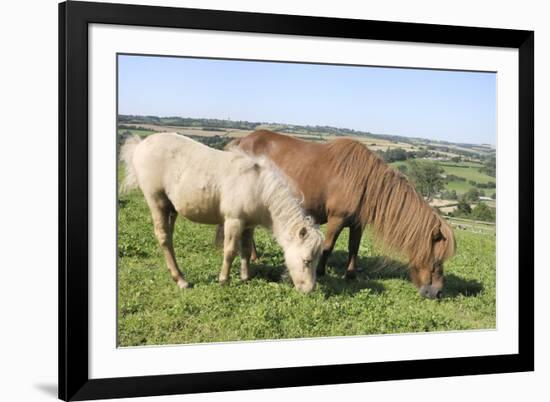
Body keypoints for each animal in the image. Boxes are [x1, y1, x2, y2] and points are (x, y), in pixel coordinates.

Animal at [120, 133, 326, 294]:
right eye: (307, 260)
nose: (309, 290)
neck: (258, 185)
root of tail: (140, 145)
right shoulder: (234, 221)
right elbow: (230, 251)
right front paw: (224, 280)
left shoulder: (248, 225)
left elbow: (246, 250)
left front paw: (245, 277)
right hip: (157, 202)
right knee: (163, 237)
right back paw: (181, 280)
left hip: (171, 209)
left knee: (169, 239)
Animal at [219, 130, 458, 300]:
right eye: (437, 260)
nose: (437, 293)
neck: (364, 182)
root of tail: (241, 141)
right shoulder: (337, 219)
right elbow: (328, 246)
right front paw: (322, 271)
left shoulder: (357, 224)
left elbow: (354, 248)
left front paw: (350, 275)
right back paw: (253, 257)